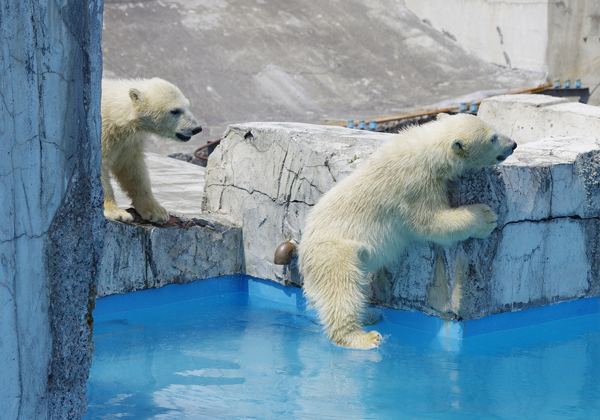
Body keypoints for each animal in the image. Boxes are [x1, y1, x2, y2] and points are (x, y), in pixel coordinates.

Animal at [102, 77, 203, 225]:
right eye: (175, 111)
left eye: (188, 106)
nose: (197, 128)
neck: (115, 111)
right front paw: (116, 212)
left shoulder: (129, 143)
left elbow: (132, 170)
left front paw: (156, 211)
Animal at [298, 113, 516, 350]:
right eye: (493, 138)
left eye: (494, 130)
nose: (513, 144)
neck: (424, 151)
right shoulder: (414, 188)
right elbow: (432, 223)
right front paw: (486, 217)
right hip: (334, 252)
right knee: (342, 288)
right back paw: (363, 337)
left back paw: (369, 314)